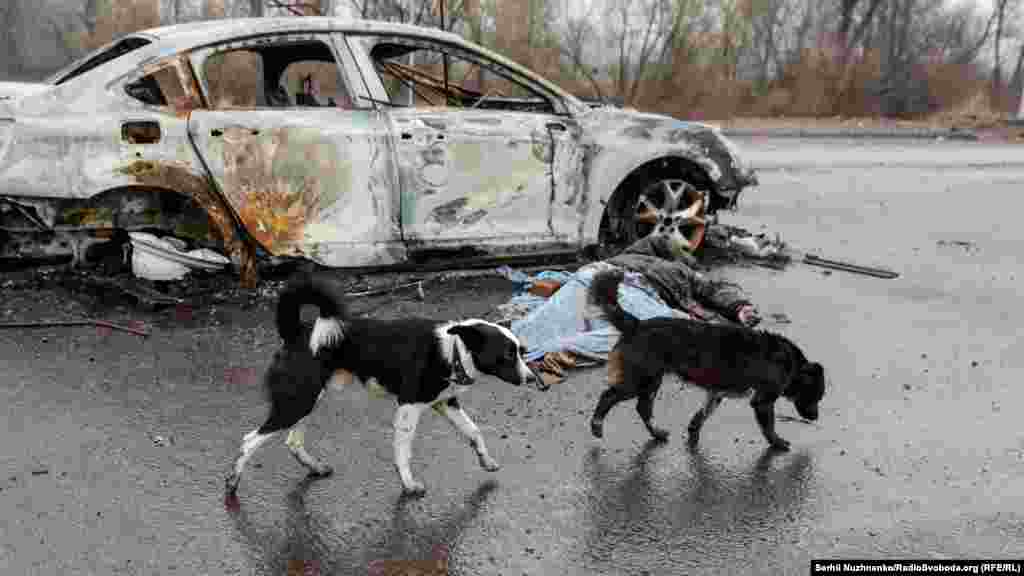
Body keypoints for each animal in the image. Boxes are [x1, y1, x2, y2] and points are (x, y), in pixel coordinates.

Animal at [227, 270, 548, 496]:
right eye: (507, 356)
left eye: (521, 351)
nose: (533, 380)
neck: (453, 351)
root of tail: (294, 332)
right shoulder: (408, 407)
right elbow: (403, 451)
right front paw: (408, 484)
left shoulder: (446, 403)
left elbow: (473, 432)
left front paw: (485, 460)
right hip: (298, 400)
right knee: (249, 440)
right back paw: (233, 482)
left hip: (307, 400)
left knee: (292, 441)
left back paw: (314, 467)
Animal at [589, 268, 819, 448]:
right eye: (816, 396)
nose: (815, 417)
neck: (792, 364)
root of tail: (636, 324)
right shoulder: (763, 400)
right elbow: (769, 427)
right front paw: (778, 443)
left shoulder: (716, 393)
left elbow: (702, 414)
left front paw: (693, 432)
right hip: (639, 379)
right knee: (608, 397)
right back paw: (597, 425)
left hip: (652, 380)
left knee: (643, 408)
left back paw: (657, 433)